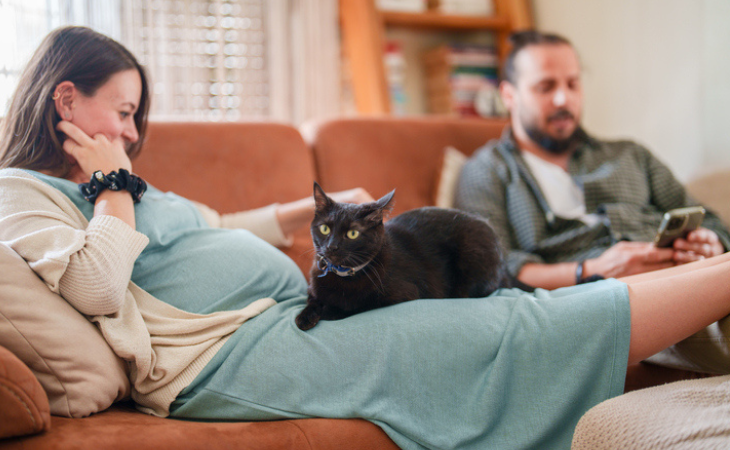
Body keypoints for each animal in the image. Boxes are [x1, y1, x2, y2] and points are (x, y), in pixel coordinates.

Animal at [292, 181, 510, 332]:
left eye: (352, 234)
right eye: (325, 229)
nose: (331, 247)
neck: (342, 276)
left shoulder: (405, 293)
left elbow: (360, 304)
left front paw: (330, 311)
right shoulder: (313, 286)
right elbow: (312, 299)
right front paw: (305, 316)